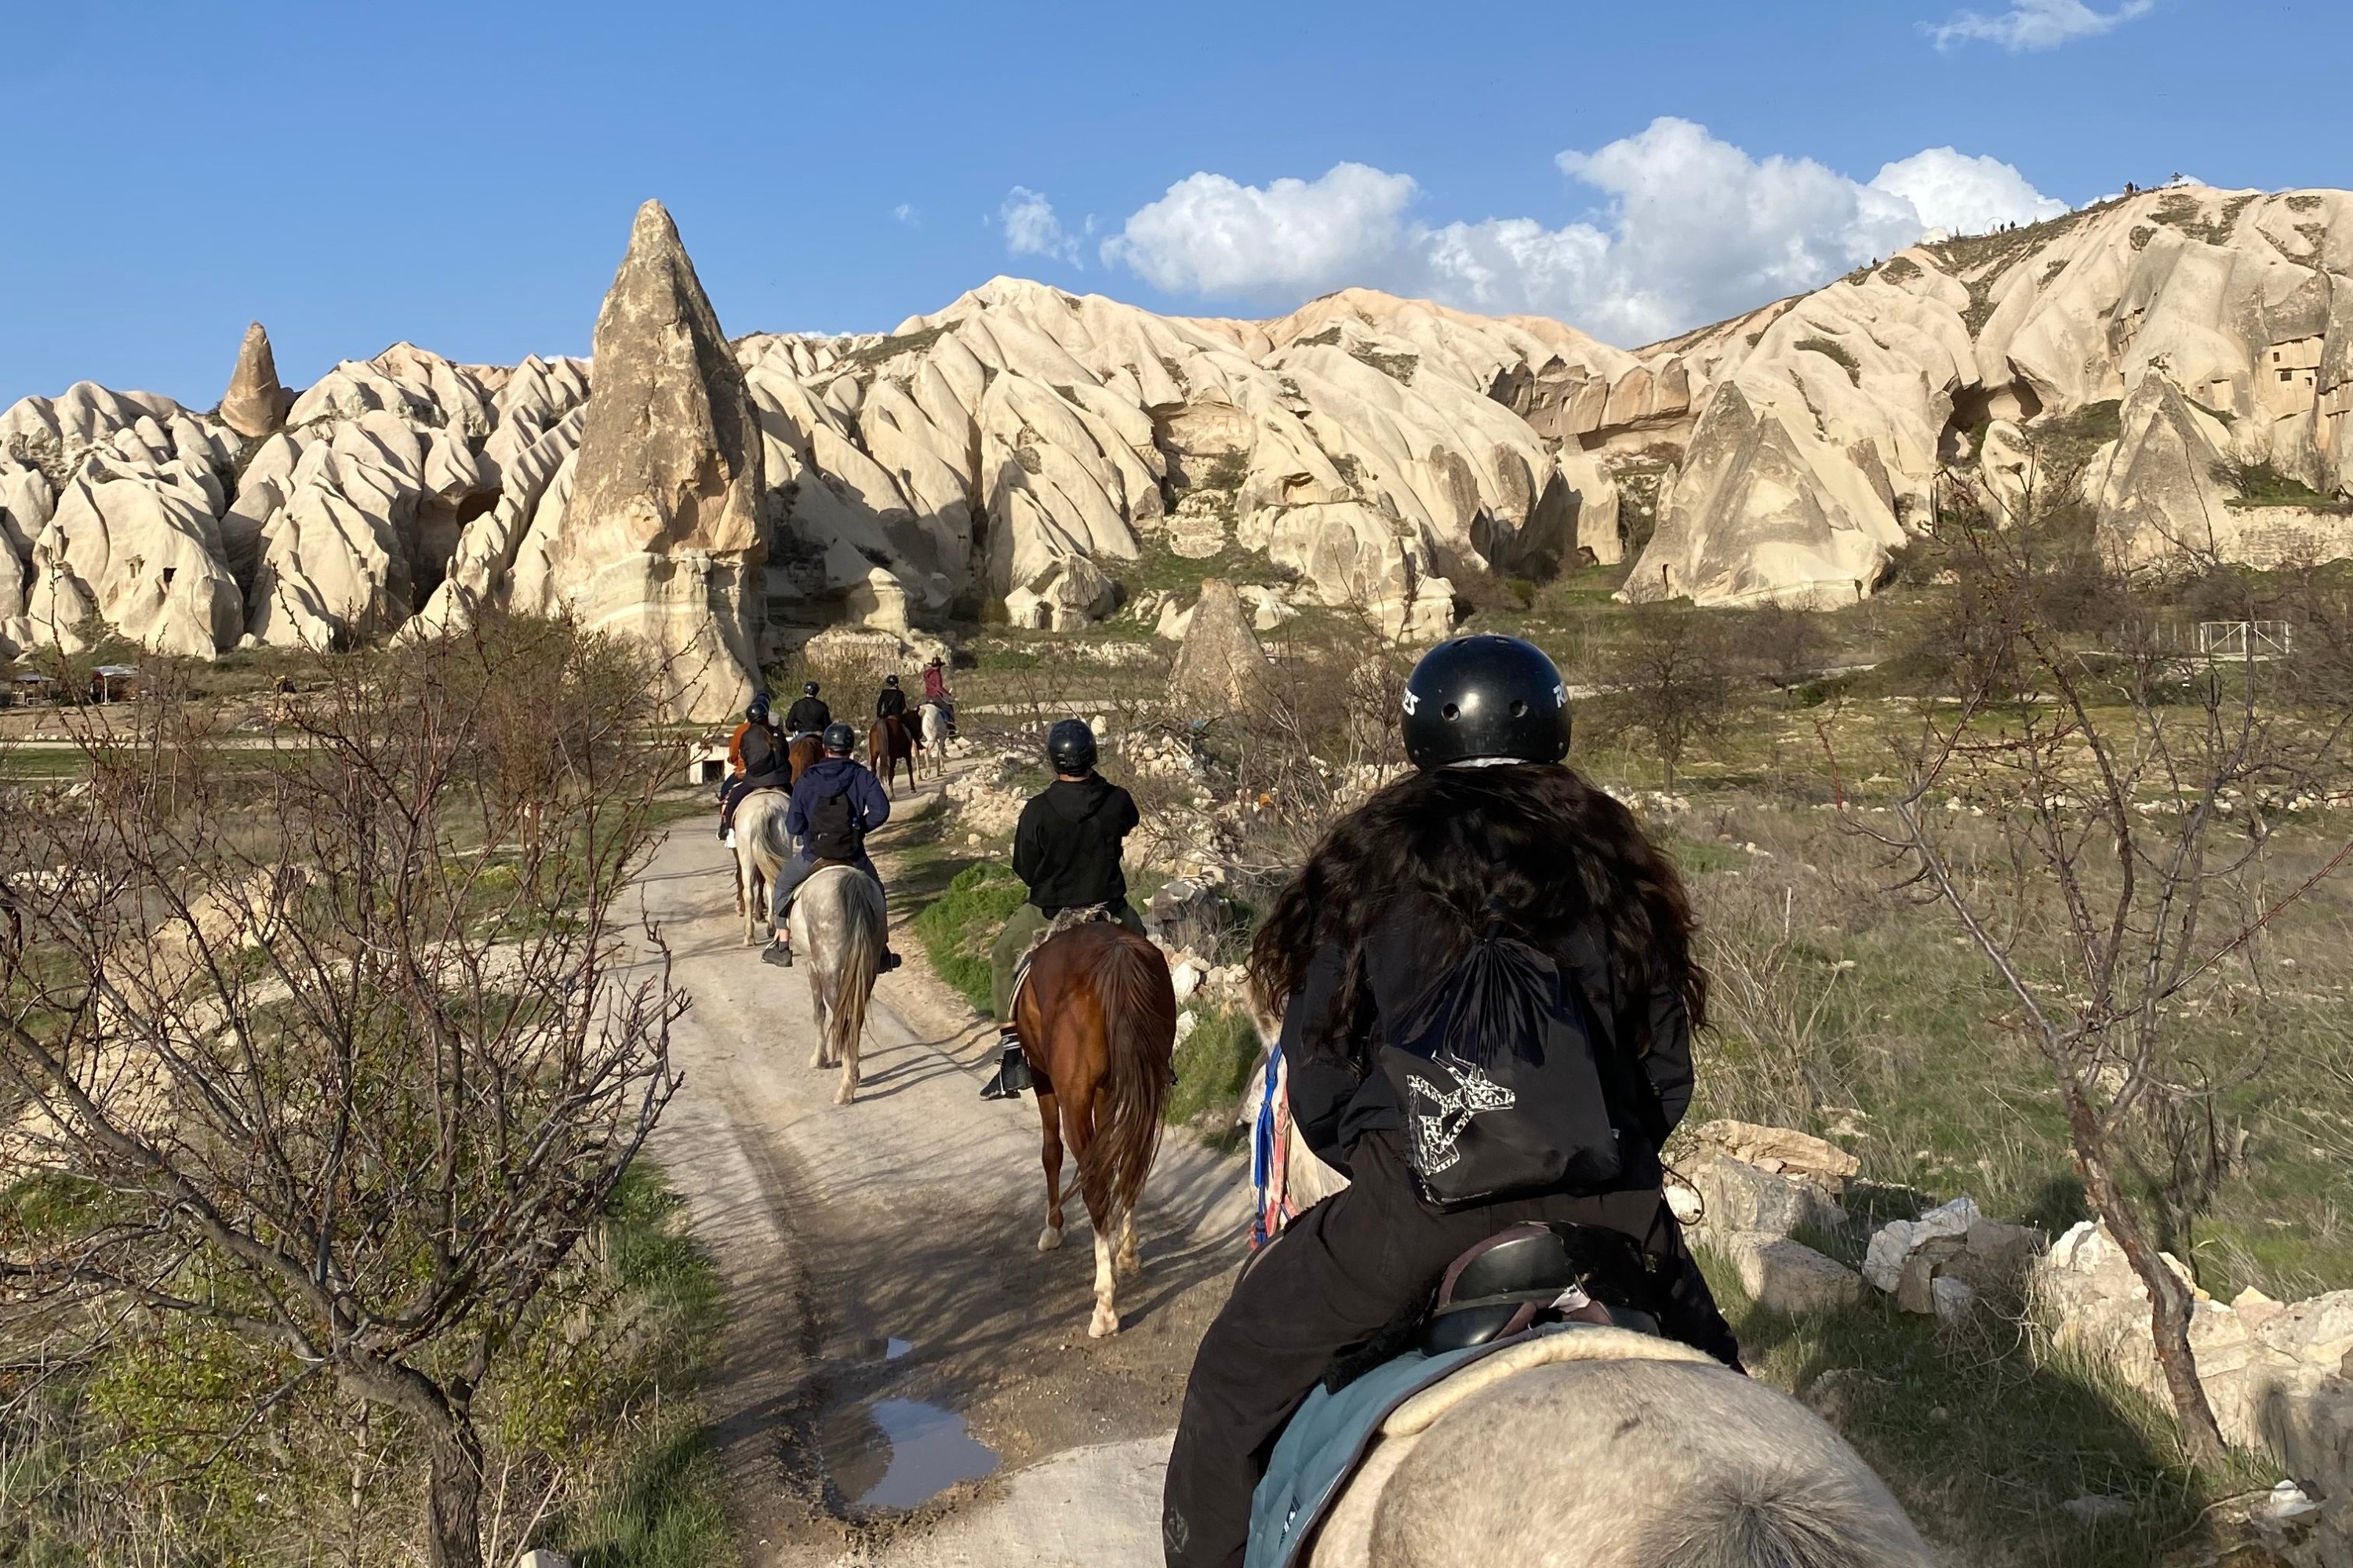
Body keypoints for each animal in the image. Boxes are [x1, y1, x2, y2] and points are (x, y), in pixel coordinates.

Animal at [795, 861, 894, 1106]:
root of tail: (854, 882)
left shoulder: (811, 965)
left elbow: (818, 1012)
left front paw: (819, 1058)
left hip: (830, 971)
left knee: (845, 1020)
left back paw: (846, 1089)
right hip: (867, 973)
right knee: (855, 1020)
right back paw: (852, 1075)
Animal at [1012, 922, 1176, 1337]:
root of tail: (1117, 954)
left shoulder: (1044, 1081)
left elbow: (1050, 1153)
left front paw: (1053, 1228)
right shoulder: (1109, 1091)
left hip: (1074, 1097)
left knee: (1095, 1185)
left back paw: (1104, 1307)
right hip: (1144, 1084)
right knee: (1132, 1164)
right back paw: (1127, 1253)